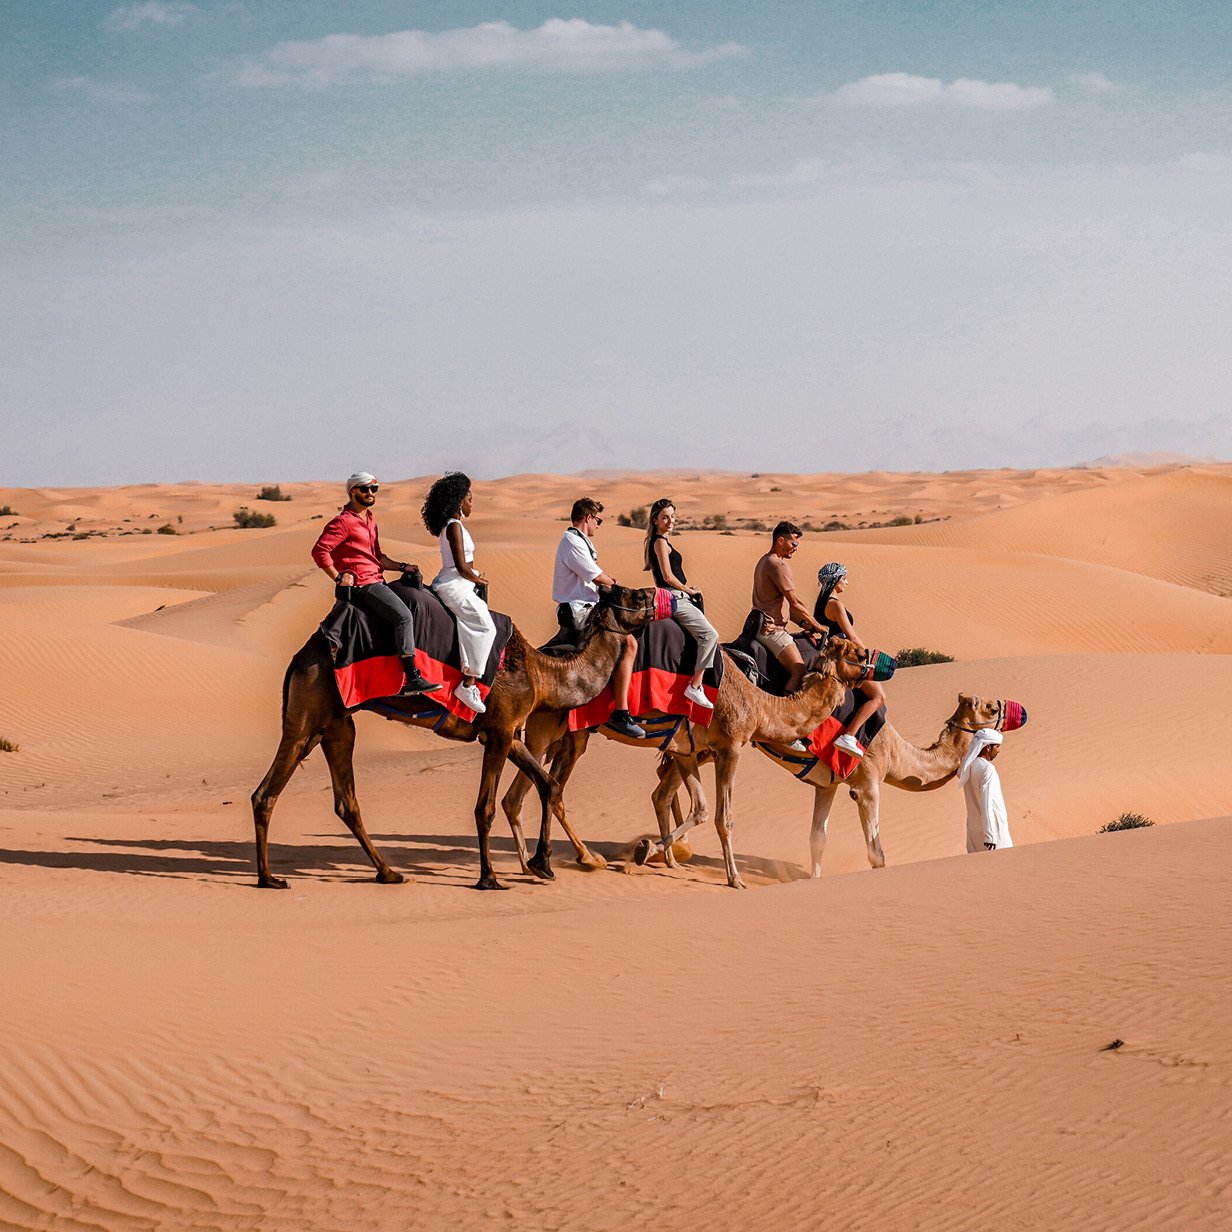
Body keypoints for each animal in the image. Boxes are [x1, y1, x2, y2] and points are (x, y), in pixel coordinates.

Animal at [243, 581, 660, 891]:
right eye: (635, 595)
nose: (660, 594)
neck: (542, 675)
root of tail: (301, 656)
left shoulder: (509, 732)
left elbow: (548, 786)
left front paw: (545, 863)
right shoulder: (499, 732)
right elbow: (485, 807)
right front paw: (490, 878)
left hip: (335, 724)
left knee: (340, 801)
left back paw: (386, 873)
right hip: (309, 713)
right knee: (270, 791)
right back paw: (270, 878)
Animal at [497, 635, 867, 887]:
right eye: (849, 649)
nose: (868, 656)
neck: (761, 705)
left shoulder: (688, 751)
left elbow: (700, 809)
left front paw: (650, 852)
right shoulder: (730, 746)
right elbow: (723, 817)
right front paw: (734, 879)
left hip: (560, 735)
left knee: (520, 796)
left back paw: (531, 865)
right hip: (555, 730)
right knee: (549, 791)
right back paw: (582, 858)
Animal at [660, 694, 1025, 877]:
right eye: (991, 707)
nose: (1020, 711)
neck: (895, 753)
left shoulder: (828, 785)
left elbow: (817, 840)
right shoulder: (867, 783)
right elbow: (876, 854)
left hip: (699, 746)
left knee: (663, 786)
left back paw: (670, 856)